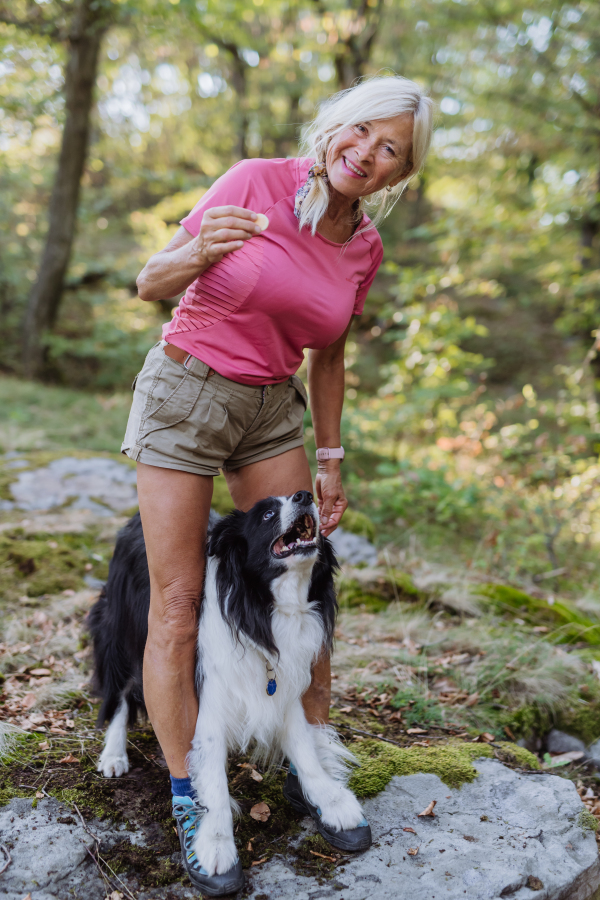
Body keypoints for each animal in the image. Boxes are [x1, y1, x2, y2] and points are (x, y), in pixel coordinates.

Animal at [88, 492, 366, 880]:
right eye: (266, 513)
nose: (305, 495)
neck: (265, 609)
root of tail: (132, 520)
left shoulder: (285, 690)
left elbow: (306, 751)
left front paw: (333, 802)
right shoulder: (210, 704)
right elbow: (214, 783)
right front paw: (215, 845)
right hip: (122, 630)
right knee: (121, 692)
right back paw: (114, 755)